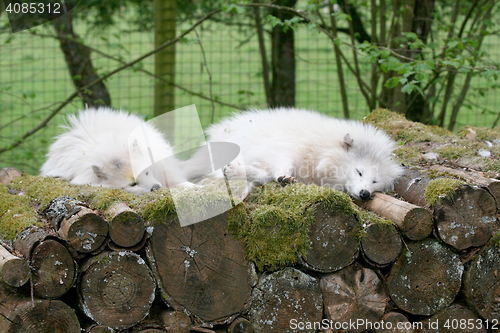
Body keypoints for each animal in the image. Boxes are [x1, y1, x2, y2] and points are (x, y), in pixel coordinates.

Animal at [182, 107, 404, 200]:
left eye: (375, 182)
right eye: (359, 172)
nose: (365, 194)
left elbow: (265, 175)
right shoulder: (281, 150)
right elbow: (278, 168)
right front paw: (284, 177)